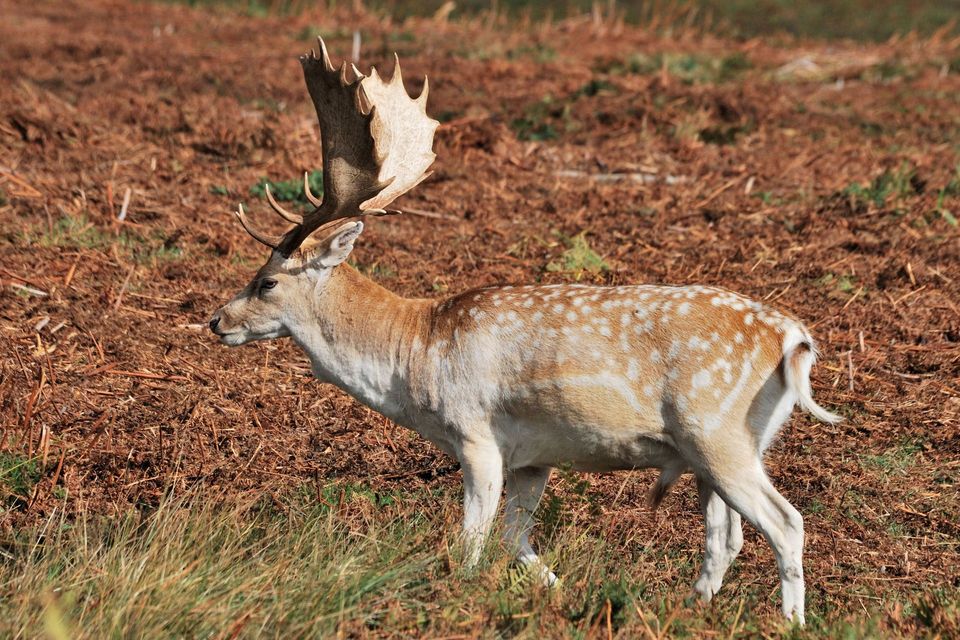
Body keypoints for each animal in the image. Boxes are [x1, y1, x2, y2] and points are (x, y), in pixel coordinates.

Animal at [208, 38, 840, 624]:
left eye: (266, 281)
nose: (217, 321)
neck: (413, 355)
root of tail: (793, 339)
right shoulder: (534, 458)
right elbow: (518, 541)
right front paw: (557, 593)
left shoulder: (476, 435)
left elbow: (472, 541)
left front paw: (456, 597)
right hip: (728, 446)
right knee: (725, 537)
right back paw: (688, 608)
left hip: (717, 432)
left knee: (786, 523)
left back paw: (791, 621)